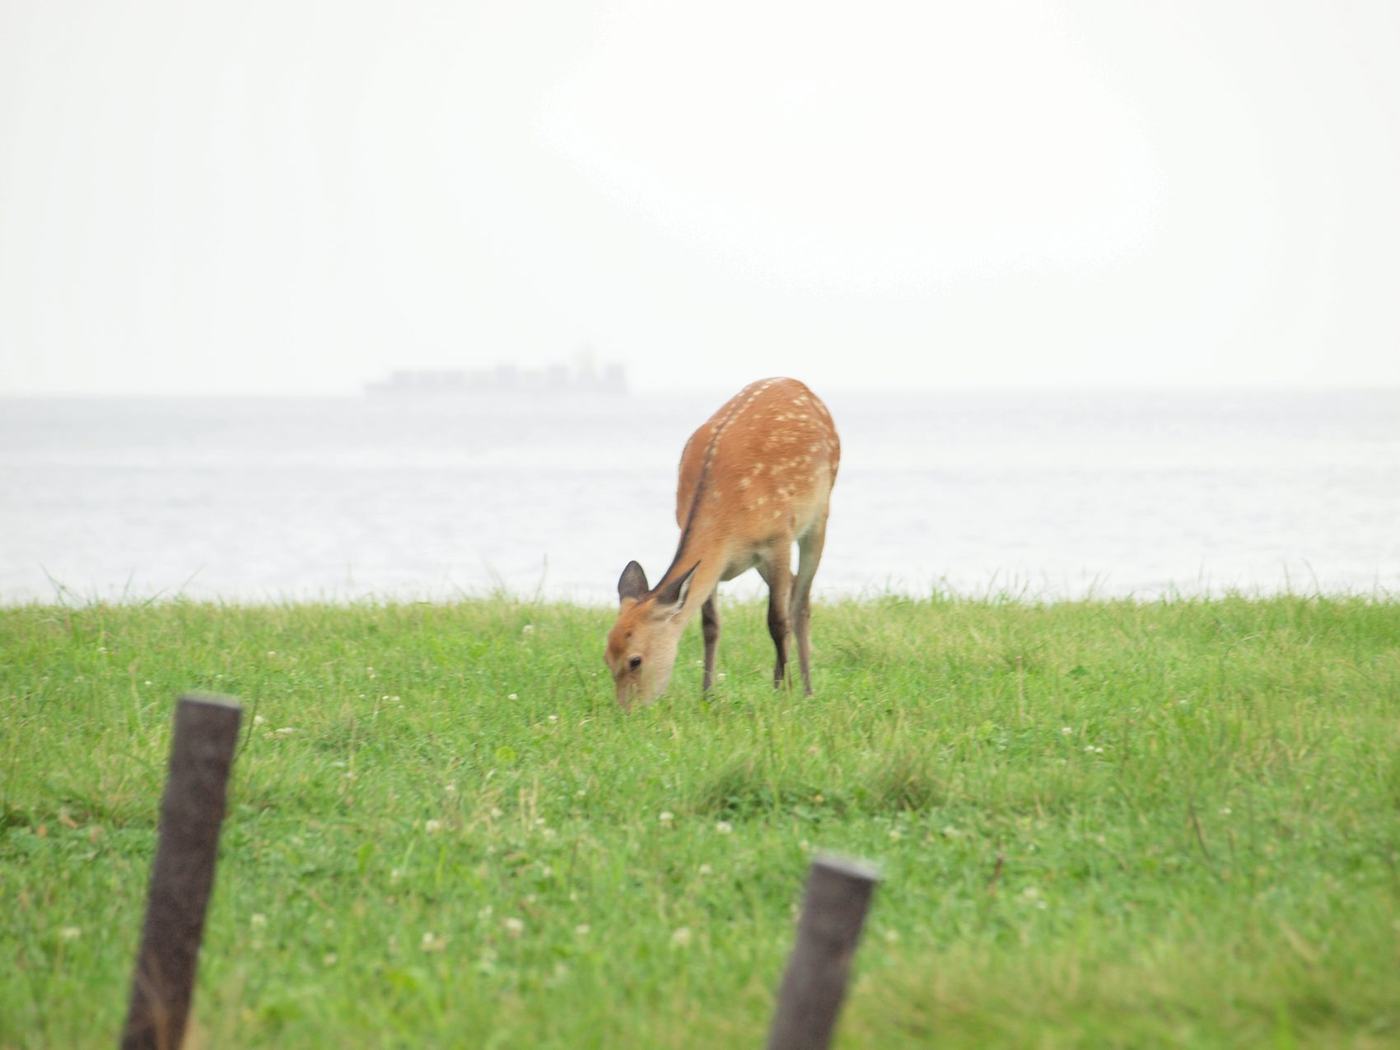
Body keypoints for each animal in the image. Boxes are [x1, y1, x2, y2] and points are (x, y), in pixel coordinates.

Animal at [605, 377, 840, 710]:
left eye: (635, 660)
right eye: (606, 658)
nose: (627, 712)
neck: (729, 524)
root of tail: (797, 383)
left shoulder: (778, 537)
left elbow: (776, 621)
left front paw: (783, 693)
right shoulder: (714, 564)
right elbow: (710, 624)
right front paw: (707, 694)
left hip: (819, 514)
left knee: (800, 601)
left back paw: (805, 689)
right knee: (795, 587)